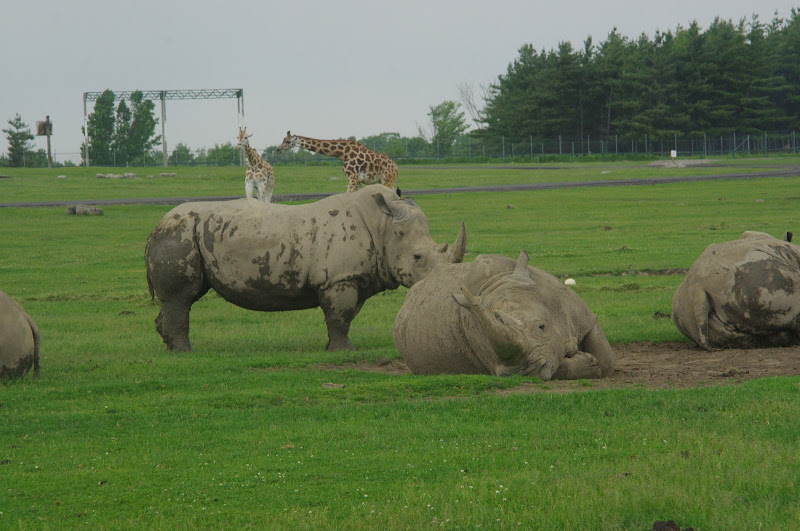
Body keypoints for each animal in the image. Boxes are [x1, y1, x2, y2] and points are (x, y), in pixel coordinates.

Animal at [145, 184, 466, 351]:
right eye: (419, 258)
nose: (443, 285)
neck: (383, 226)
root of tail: (155, 227)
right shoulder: (338, 279)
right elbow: (340, 315)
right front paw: (343, 353)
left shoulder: (354, 277)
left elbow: (345, 315)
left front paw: (335, 348)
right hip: (179, 233)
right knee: (181, 298)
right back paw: (187, 353)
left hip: (186, 234)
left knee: (182, 298)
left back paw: (170, 349)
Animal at [393, 251, 615, 380]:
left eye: (541, 327)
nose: (530, 371)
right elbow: (560, 366)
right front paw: (587, 362)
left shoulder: (582, 316)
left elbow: (606, 359)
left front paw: (594, 363)